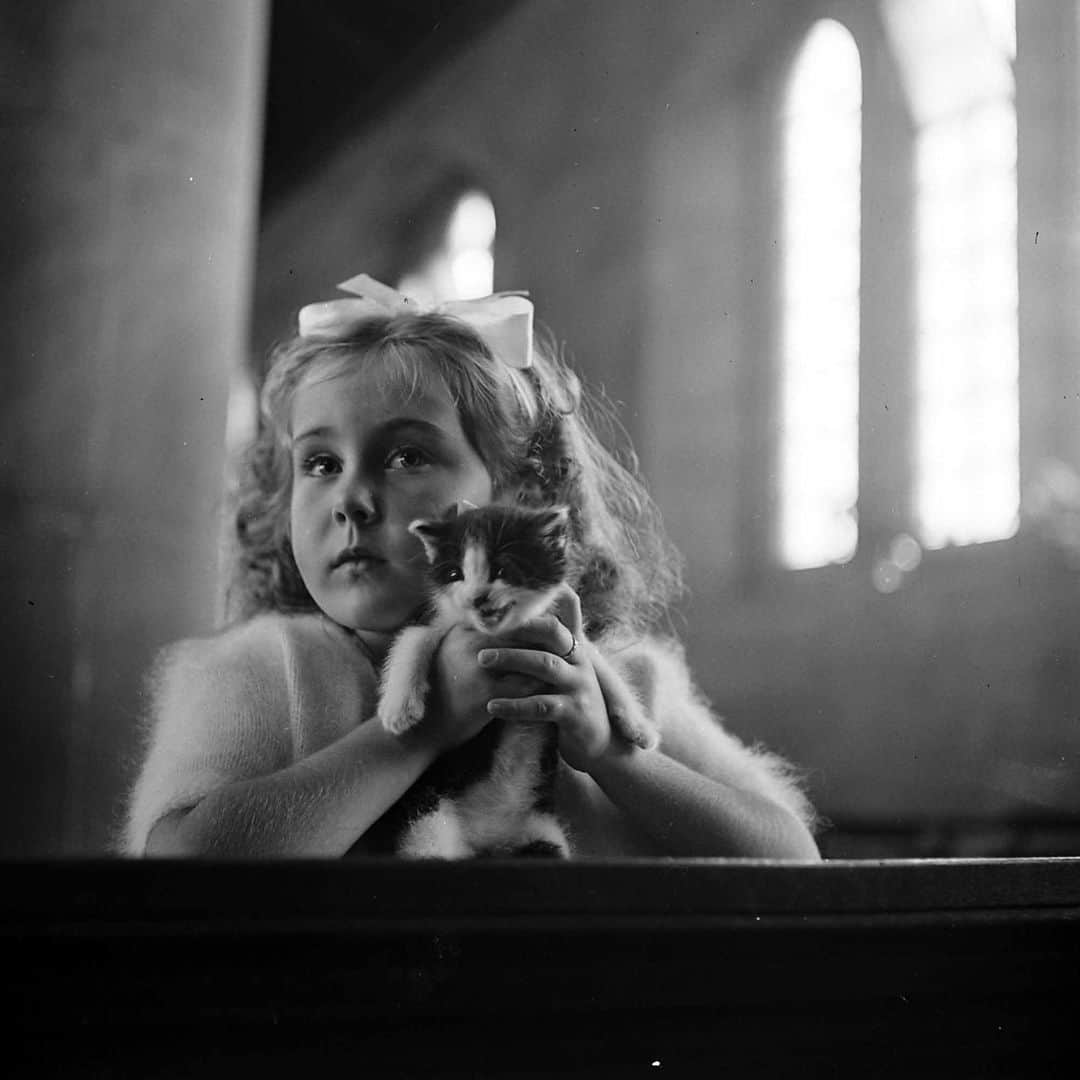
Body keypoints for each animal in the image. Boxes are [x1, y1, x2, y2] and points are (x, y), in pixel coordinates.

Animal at [371, 503, 656, 859]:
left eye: (502, 569)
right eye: (454, 575)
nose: (477, 598)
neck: (505, 634)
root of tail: (485, 841)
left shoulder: (562, 633)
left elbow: (599, 665)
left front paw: (638, 726)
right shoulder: (438, 620)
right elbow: (412, 640)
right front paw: (398, 709)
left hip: (540, 830)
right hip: (427, 817)